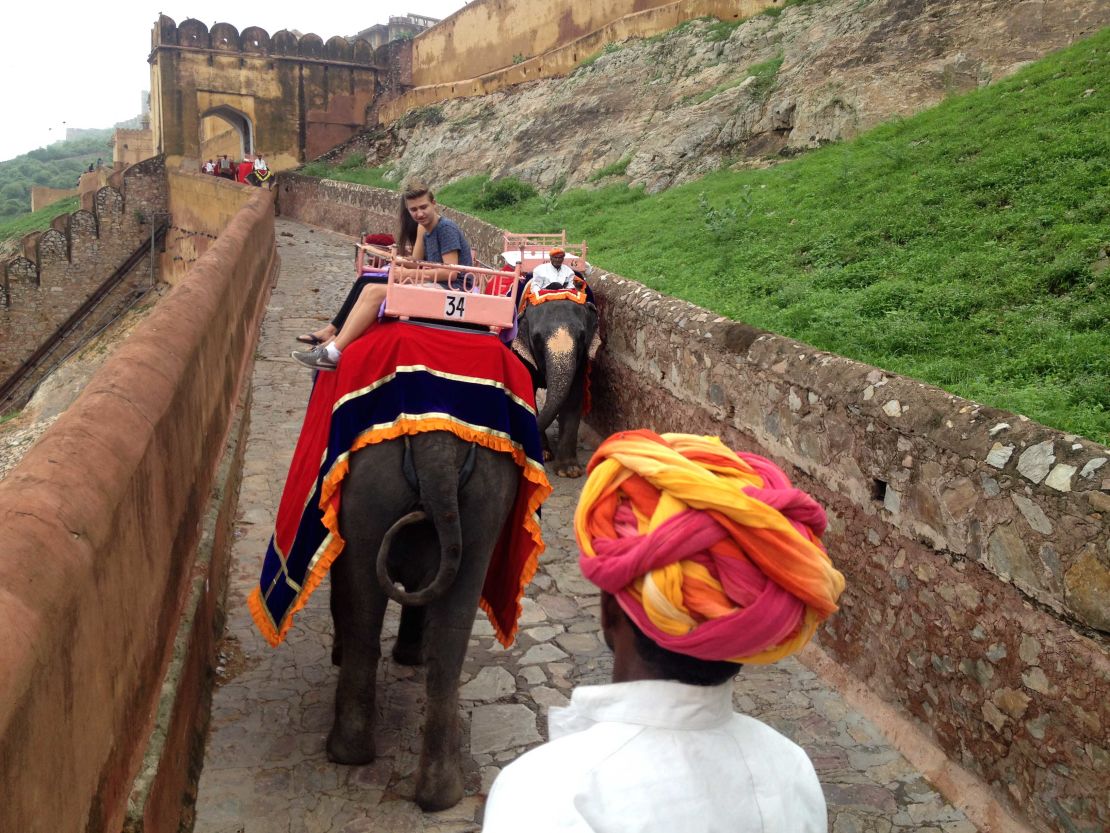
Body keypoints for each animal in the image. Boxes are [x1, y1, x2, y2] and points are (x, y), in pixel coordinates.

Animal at [324, 433, 519, 813]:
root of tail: (437, 448)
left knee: (364, 611)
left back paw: (347, 754)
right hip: (480, 505)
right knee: (448, 635)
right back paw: (439, 795)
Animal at [512, 290, 599, 475]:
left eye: (582, 336)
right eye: (536, 338)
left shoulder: (580, 360)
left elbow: (574, 396)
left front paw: (570, 471)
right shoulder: (521, 352)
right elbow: (527, 391)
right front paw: (543, 455)